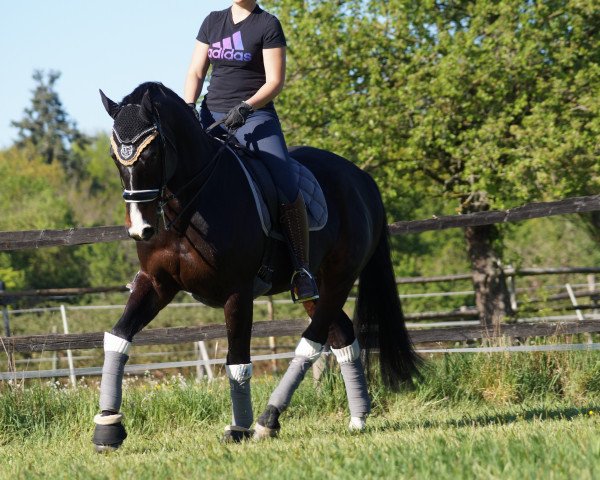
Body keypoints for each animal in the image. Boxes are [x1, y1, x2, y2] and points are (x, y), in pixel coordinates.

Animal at [92, 80, 422, 452]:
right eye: (115, 157)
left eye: (150, 154)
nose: (140, 229)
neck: (190, 203)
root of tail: (361, 178)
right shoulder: (156, 283)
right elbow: (118, 337)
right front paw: (107, 426)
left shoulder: (237, 292)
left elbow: (237, 360)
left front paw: (238, 427)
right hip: (315, 288)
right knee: (340, 334)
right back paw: (358, 416)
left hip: (339, 278)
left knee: (312, 341)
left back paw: (268, 419)